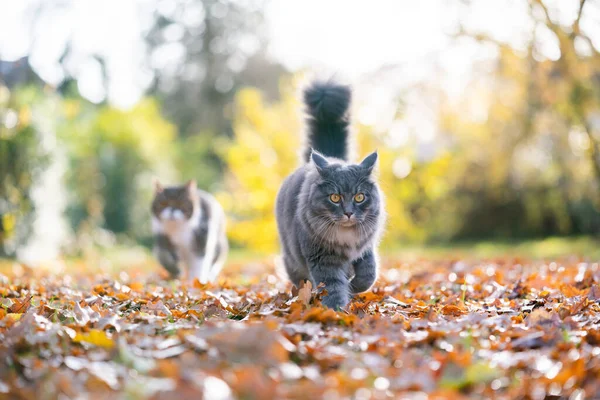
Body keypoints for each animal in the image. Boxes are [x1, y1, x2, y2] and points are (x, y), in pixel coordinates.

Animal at [276, 79, 384, 308]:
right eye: (335, 197)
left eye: (359, 197)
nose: (349, 213)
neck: (345, 237)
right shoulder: (322, 258)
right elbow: (333, 284)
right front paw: (336, 308)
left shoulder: (365, 249)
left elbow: (369, 274)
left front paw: (354, 287)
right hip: (292, 260)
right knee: (302, 281)